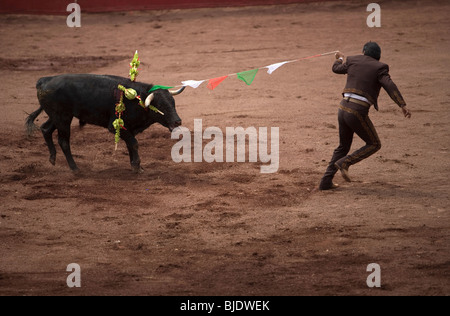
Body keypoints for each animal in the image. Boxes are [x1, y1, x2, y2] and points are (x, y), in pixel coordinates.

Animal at [26, 74, 185, 173]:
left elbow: (130, 145)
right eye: (161, 106)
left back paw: (53, 158)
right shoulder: (115, 127)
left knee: (45, 129)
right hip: (62, 118)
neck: (137, 100)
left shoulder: (129, 128)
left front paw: (135, 166)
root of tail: (44, 80)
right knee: (63, 141)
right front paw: (136, 166)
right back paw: (75, 169)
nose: (178, 121)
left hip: (59, 117)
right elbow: (134, 144)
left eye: (173, 103)